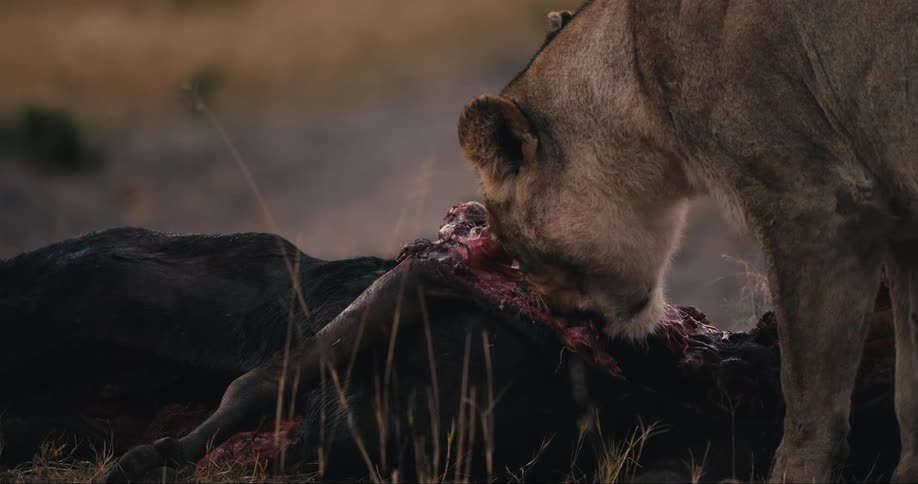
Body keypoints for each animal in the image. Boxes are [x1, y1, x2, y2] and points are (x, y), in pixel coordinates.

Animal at [458, 1, 918, 482]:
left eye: (512, 247)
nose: (554, 311)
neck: (640, 77)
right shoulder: (897, 223)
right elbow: (910, 387)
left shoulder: (813, 207)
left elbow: (808, 390)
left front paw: (793, 472)